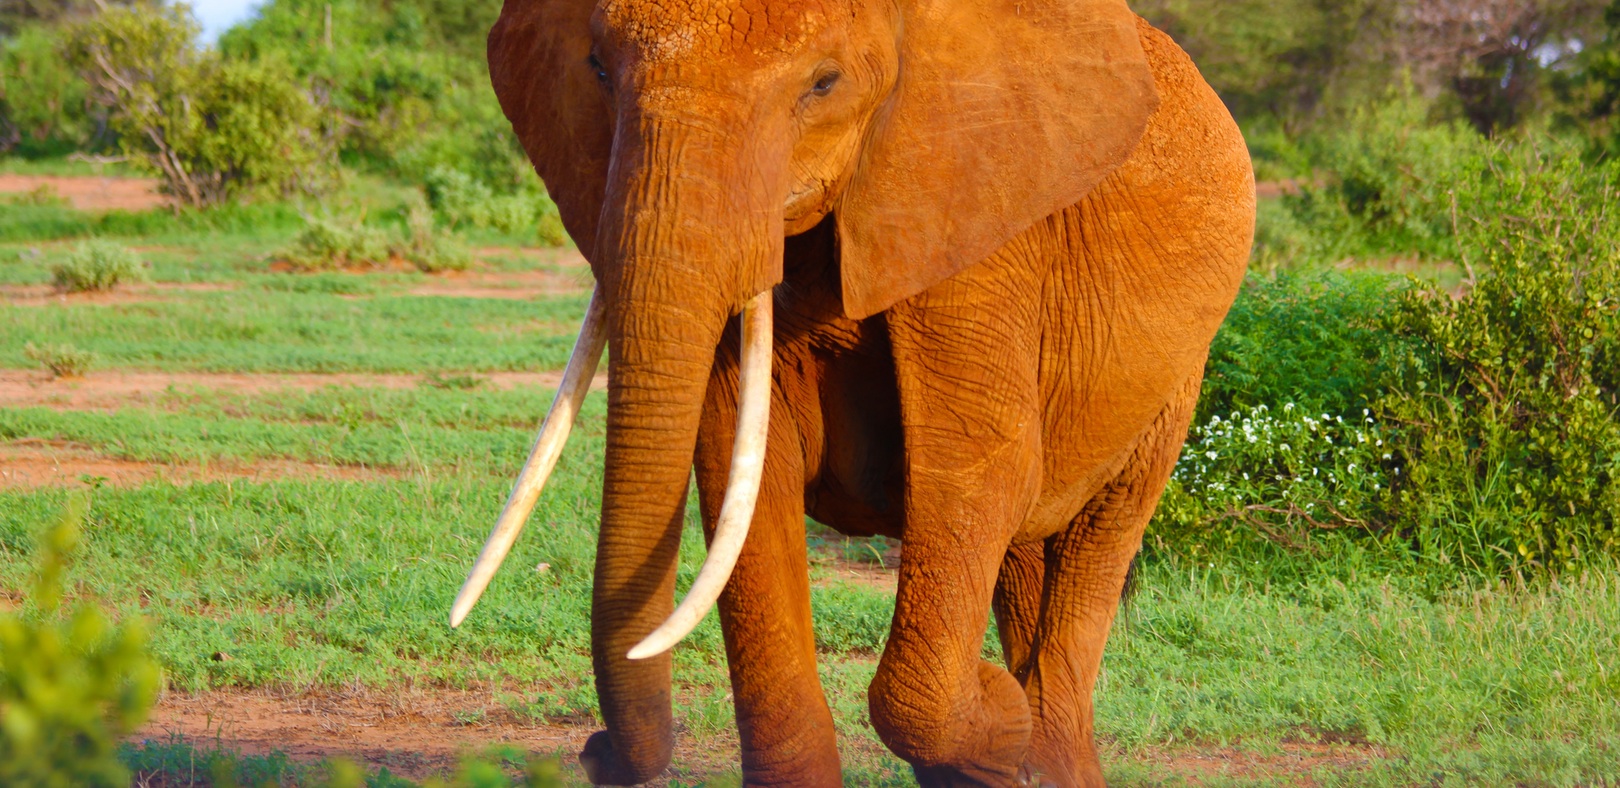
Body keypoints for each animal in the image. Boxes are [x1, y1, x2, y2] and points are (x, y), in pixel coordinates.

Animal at [450, 0, 1257, 784]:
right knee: (1026, 553)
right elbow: (744, 472)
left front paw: (999, 710)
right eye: (595, 69)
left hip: (1180, 372)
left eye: (824, 83)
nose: (594, 752)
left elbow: (979, 471)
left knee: (1097, 539)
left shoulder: (977, 222)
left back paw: (1035, 733)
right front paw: (993, 720)